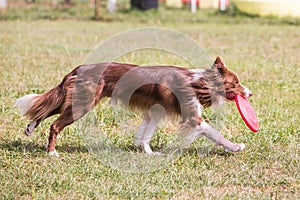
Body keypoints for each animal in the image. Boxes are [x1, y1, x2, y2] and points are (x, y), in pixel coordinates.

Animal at [15, 56, 252, 156]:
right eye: (236, 83)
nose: (250, 93)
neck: (199, 82)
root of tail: (79, 68)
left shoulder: (154, 111)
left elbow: (145, 134)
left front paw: (147, 151)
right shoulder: (193, 118)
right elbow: (215, 133)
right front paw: (235, 147)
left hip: (73, 99)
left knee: (46, 108)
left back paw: (30, 128)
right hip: (82, 105)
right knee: (55, 125)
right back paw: (52, 152)